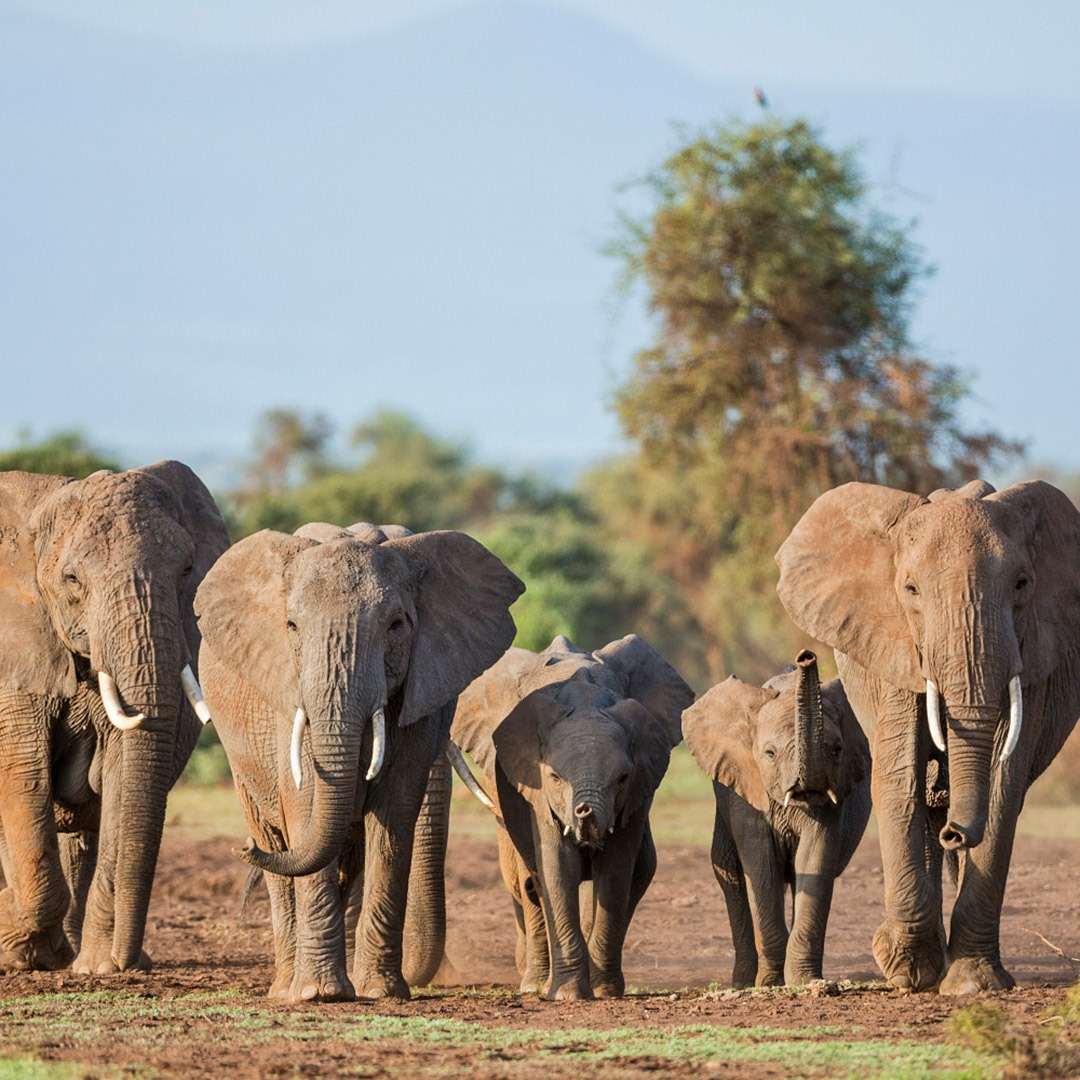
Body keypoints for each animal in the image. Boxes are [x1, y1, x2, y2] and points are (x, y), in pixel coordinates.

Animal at [0, 462, 230, 972]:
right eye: (71, 579)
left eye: (187, 570)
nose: (130, 962)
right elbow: (23, 777)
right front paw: (19, 949)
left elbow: (124, 776)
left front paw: (100, 966)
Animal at [198, 518, 527, 997]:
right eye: (291, 625)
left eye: (396, 625)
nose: (241, 849)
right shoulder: (287, 693)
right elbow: (305, 803)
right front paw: (320, 995)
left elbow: (394, 812)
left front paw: (381, 992)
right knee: (277, 842)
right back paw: (286, 988)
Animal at [449, 635, 691, 997]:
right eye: (554, 777)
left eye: (622, 779)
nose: (584, 811)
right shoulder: (535, 791)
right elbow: (556, 866)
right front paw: (568, 994)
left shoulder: (640, 786)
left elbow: (616, 872)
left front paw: (603, 991)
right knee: (528, 878)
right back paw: (535, 985)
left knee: (639, 871)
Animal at [682, 648, 868, 989]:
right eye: (769, 754)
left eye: (837, 750)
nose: (806, 656)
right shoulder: (746, 792)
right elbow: (760, 865)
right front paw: (769, 983)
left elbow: (815, 859)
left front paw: (805, 981)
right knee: (730, 874)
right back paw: (743, 983)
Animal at [773, 481, 1080, 993]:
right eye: (911, 589)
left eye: (1022, 584)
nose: (957, 834)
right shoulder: (893, 646)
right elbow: (900, 781)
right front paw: (906, 970)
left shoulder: (1032, 649)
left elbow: (1003, 786)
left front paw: (973, 983)